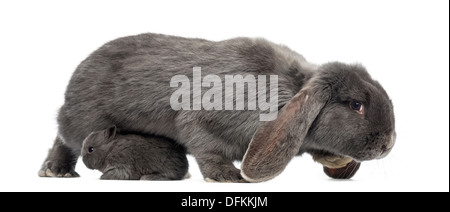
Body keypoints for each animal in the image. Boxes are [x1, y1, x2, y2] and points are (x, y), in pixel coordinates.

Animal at [39, 32, 398, 182]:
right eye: (356, 105)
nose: (389, 144)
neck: (288, 88)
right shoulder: (204, 121)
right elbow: (206, 146)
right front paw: (227, 178)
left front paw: (333, 157)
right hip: (83, 123)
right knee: (63, 137)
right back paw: (56, 170)